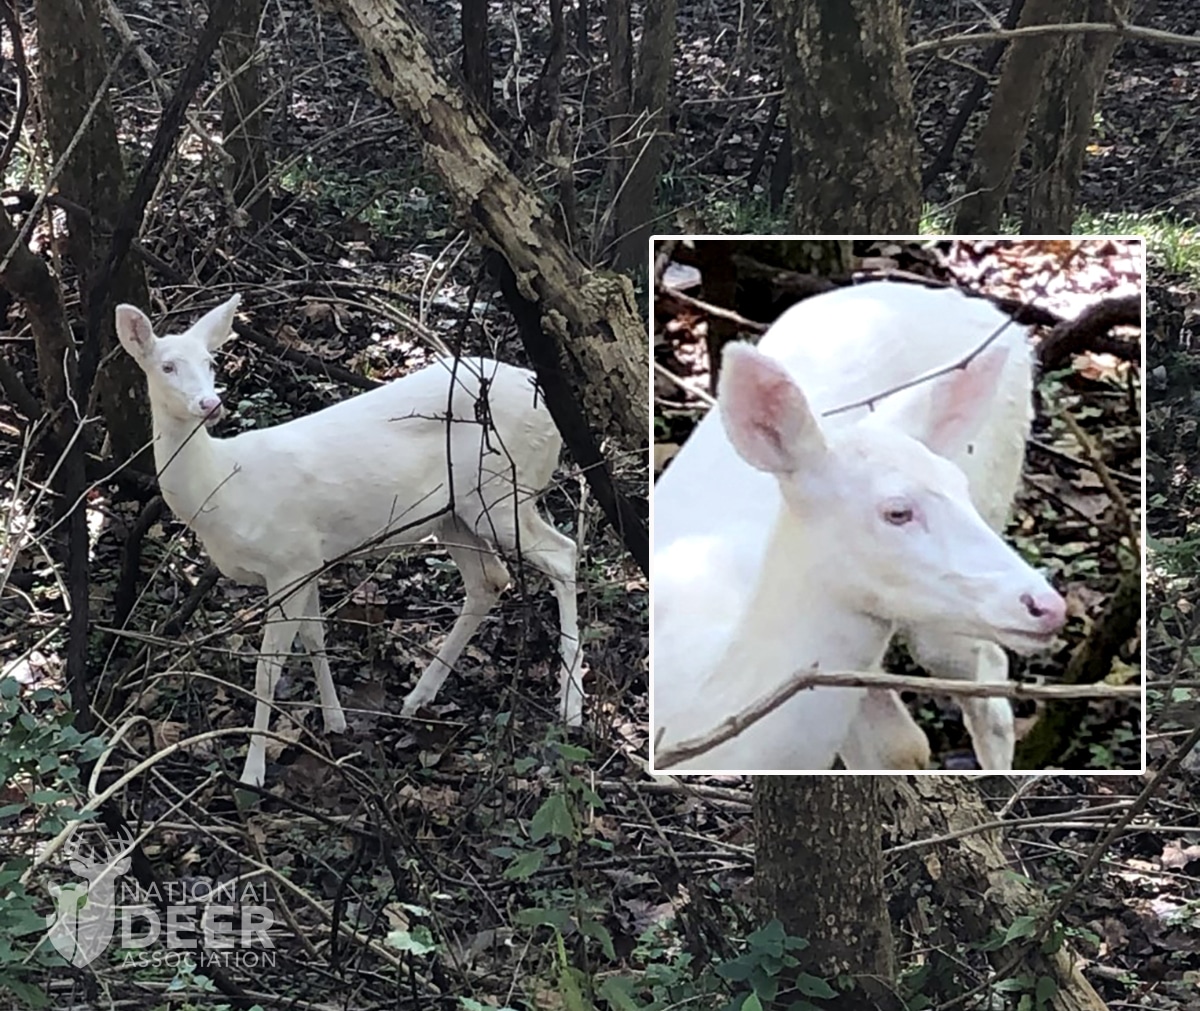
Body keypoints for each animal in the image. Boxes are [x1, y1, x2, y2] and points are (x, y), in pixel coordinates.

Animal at [114, 295, 583, 782]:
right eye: (167, 366)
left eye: (210, 362)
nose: (210, 404)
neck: (224, 490)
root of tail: (545, 406)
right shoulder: (309, 558)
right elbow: (314, 637)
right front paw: (335, 720)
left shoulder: (289, 559)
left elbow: (268, 667)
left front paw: (253, 772)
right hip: (456, 513)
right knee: (490, 579)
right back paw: (418, 697)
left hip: (503, 488)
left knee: (563, 553)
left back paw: (570, 707)